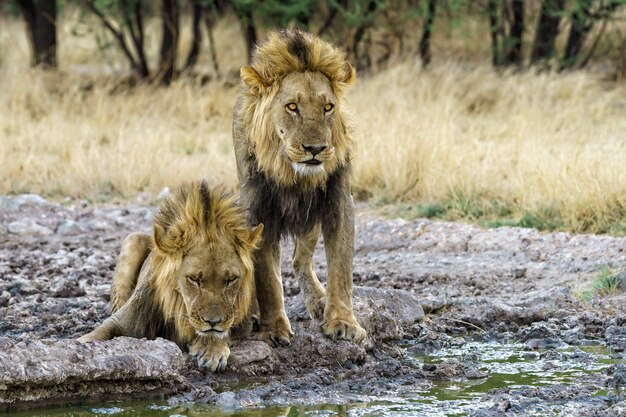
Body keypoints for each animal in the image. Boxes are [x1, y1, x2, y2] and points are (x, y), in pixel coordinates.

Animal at [78, 182, 264, 370]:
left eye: (231, 279)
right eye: (194, 279)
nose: (213, 322)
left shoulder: (240, 323)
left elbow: (223, 331)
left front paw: (212, 351)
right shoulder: (123, 320)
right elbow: (96, 333)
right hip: (132, 239)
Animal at [230, 29, 366, 346]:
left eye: (328, 107)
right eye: (292, 106)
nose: (315, 149)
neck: (294, 176)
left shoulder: (339, 203)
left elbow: (341, 269)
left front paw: (342, 321)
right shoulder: (258, 212)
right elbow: (267, 279)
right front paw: (274, 329)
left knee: (298, 261)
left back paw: (318, 299)